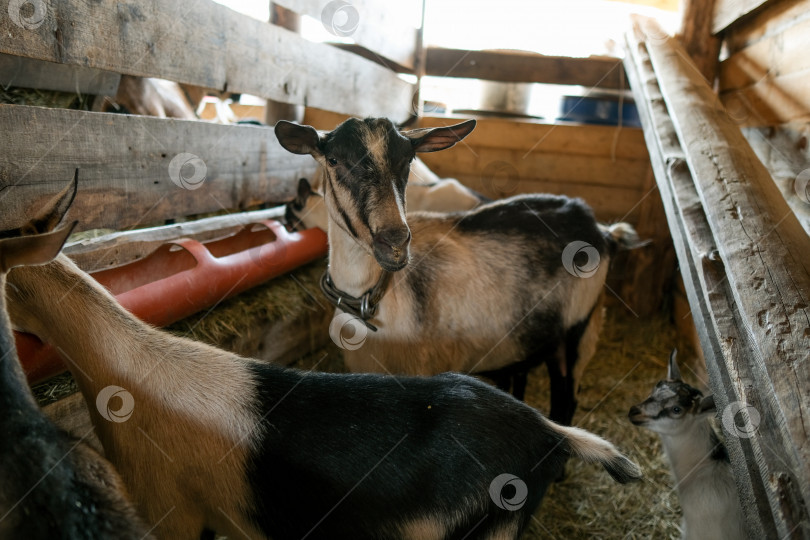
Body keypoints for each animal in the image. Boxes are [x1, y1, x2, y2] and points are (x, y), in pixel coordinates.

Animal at [274, 118, 640, 426]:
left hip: (581, 332)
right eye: (334, 160)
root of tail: (603, 230)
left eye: (408, 161)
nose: (394, 243)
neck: (376, 294)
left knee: (567, 402)